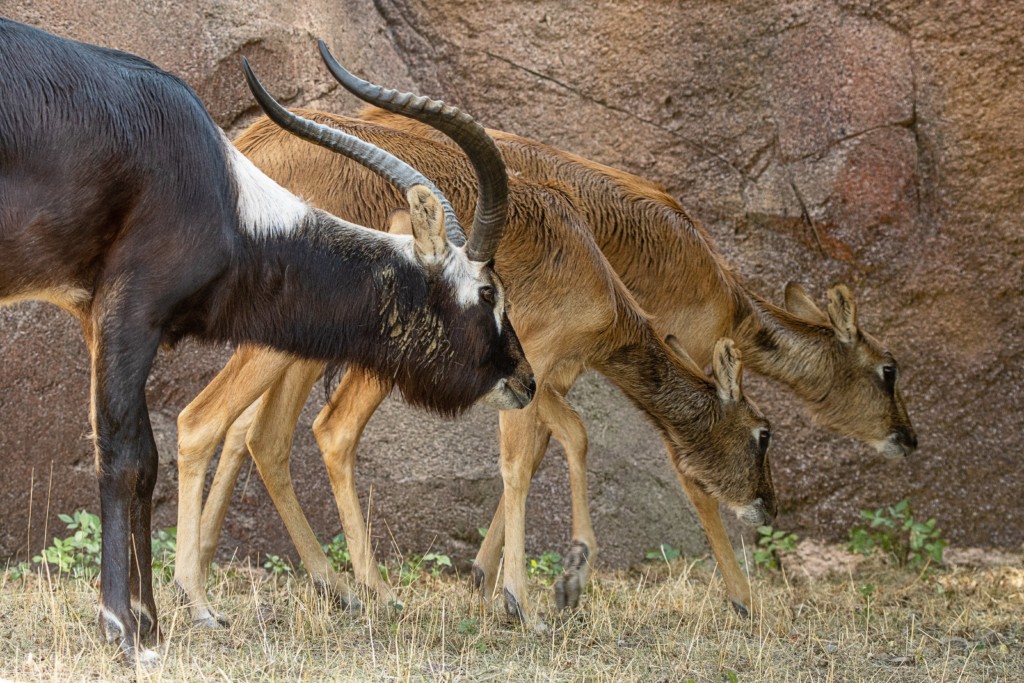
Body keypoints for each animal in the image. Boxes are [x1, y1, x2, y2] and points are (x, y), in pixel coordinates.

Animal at [0, 21, 532, 663]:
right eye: (488, 292)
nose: (525, 380)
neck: (224, 195)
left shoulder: (93, 320)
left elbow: (147, 459)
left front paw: (151, 621)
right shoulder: (130, 315)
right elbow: (124, 457)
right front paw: (124, 630)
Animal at [174, 45, 774, 626]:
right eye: (763, 433)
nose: (767, 504)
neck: (590, 264)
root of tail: (254, 144)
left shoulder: (539, 378)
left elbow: (557, 440)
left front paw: (509, 582)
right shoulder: (533, 365)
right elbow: (533, 457)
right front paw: (532, 597)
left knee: (259, 433)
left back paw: (321, 586)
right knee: (280, 426)